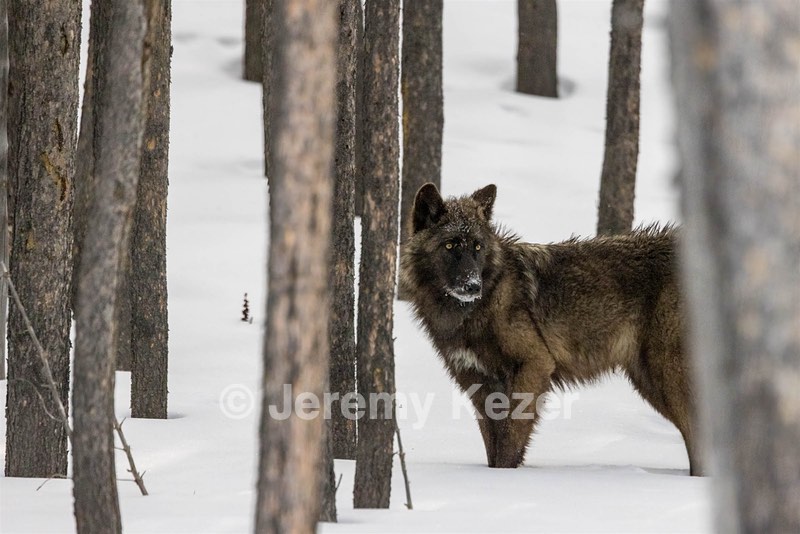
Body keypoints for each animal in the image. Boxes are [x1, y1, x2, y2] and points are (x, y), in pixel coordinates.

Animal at [400, 183, 702, 475]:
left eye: (477, 247)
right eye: (450, 245)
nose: (473, 286)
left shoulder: (535, 363)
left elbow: (510, 441)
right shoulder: (478, 381)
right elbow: (493, 447)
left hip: (666, 377)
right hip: (649, 381)